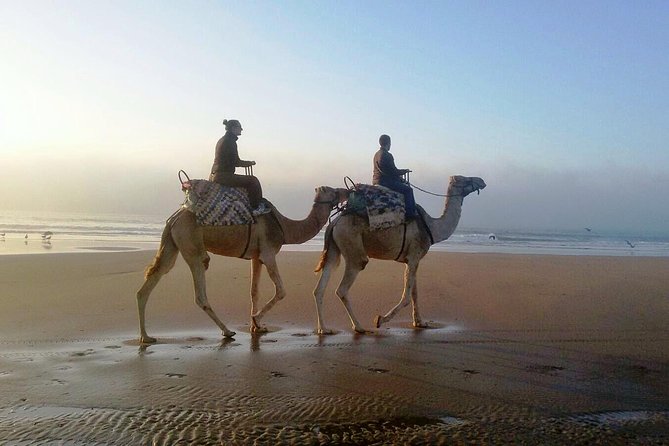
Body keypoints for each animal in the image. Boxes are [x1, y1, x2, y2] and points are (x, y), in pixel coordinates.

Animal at [135, 186, 344, 344]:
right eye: (331, 190)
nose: (345, 191)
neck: (285, 227)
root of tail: (174, 218)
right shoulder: (268, 253)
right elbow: (281, 291)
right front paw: (256, 320)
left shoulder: (256, 257)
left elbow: (254, 291)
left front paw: (255, 327)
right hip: (191, 246)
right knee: (200, 293)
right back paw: (227, 331)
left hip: (172, 244)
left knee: (152, 279)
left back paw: (146, 337)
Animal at [314, 176, 486, 332]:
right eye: (465, 179)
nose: (481, 181)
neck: (431, 227)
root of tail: (334, 222)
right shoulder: (414, 256)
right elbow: (407, 297)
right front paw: (380, 319)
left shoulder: (412, 260)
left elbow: (415, 293)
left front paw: (420, 322)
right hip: (352, 246)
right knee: (343, 287)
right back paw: (359, 327)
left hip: (333, 249)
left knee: (320, 287)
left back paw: (323, 329)